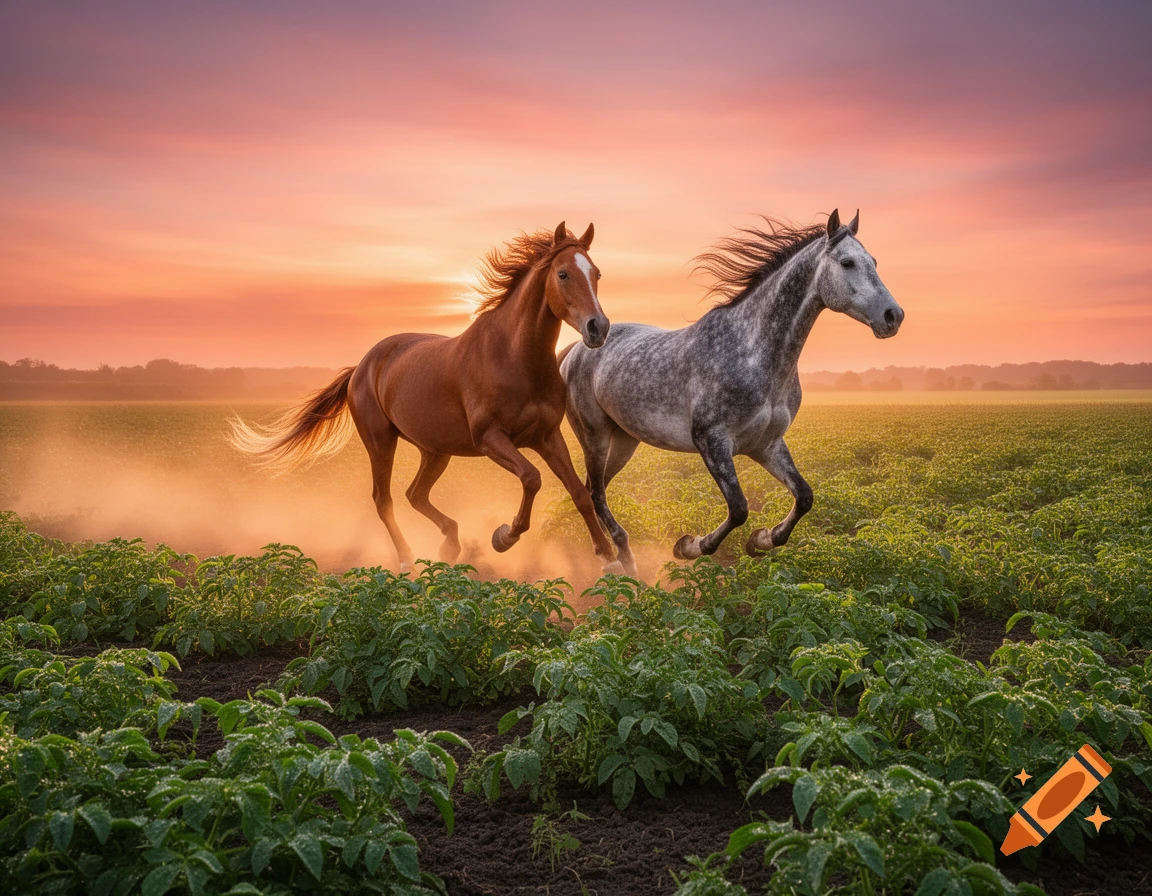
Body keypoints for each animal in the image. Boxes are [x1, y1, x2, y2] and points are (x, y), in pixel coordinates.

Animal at [230, 221, 625, 574]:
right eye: (563, 274)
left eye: (597, 274)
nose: (598, 327)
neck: (515, 358)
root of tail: (361, 367)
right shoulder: (490, 438)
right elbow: (531, 478)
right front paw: (504, 536)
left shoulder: (546, 436)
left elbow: (578, 493)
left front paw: (609, 560)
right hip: (380, 441)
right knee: (385, 500)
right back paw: (408, 559)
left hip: (435, 450)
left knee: (415, 494)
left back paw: (450, 543)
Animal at [559, 209, 904, 576]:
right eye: (847, 262)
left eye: (874, 261)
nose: (893, 316)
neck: (754, 353)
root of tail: (574, 350)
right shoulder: (712, 440)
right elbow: (739, 508)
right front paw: (688, 546)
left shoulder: (766, 444)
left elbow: (804, 496)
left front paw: (761, 540)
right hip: (595, 436)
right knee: (595, 492)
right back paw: (622, 559)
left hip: (625, 440)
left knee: (595, 488)